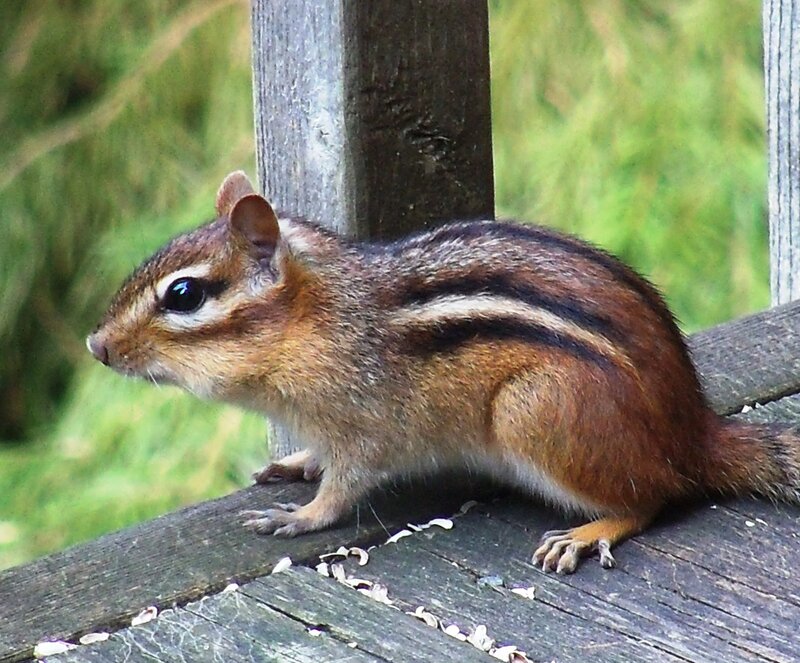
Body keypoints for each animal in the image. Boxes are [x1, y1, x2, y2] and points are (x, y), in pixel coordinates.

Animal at [87, 171, 800, 574]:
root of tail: (695, 432)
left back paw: (589, 530)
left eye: (184, 295)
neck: (317, 320)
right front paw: (295, 464)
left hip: (536, 409)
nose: (96, 345)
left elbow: (346, 486)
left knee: (656, 494)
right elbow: (319, 459)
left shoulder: (365, 423)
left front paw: (302, 516)